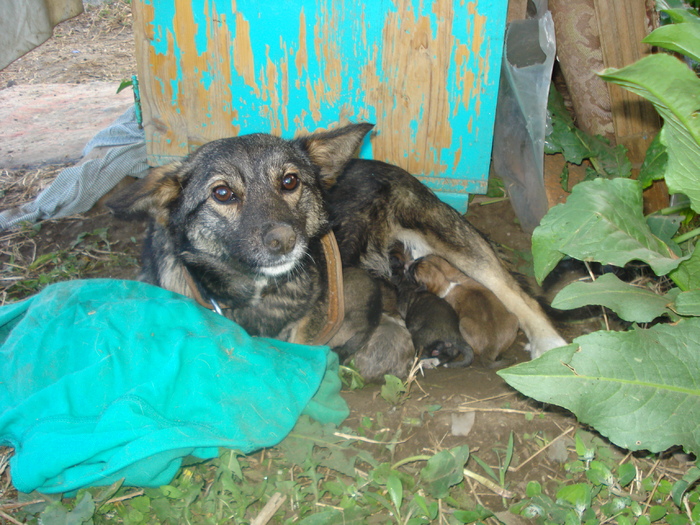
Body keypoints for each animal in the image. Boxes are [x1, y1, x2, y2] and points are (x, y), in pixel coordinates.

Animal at [109, 121, 568, 378]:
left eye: (290, 181)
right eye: (222, 193)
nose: (284, 240)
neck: (254, 291)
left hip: (450, 237)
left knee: (518, 293)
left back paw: (554, 349)